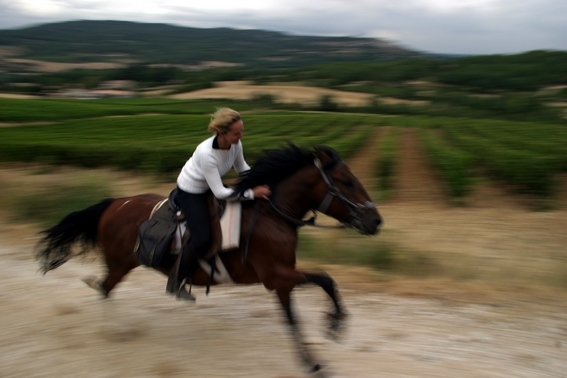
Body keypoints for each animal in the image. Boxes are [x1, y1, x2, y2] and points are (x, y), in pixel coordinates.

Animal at [35, 143, 382, 376]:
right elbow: (324, 280)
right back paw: (114, 330)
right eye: (347, 181)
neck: (272, 215)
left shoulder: (282, 280)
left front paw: (317, 352)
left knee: (102, 287)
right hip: (121, 263)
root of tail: (113, 203)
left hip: (123, 263)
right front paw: (333, 328)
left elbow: (299, 312)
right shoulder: (277, 276)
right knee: (104, 288)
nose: (376, 221)